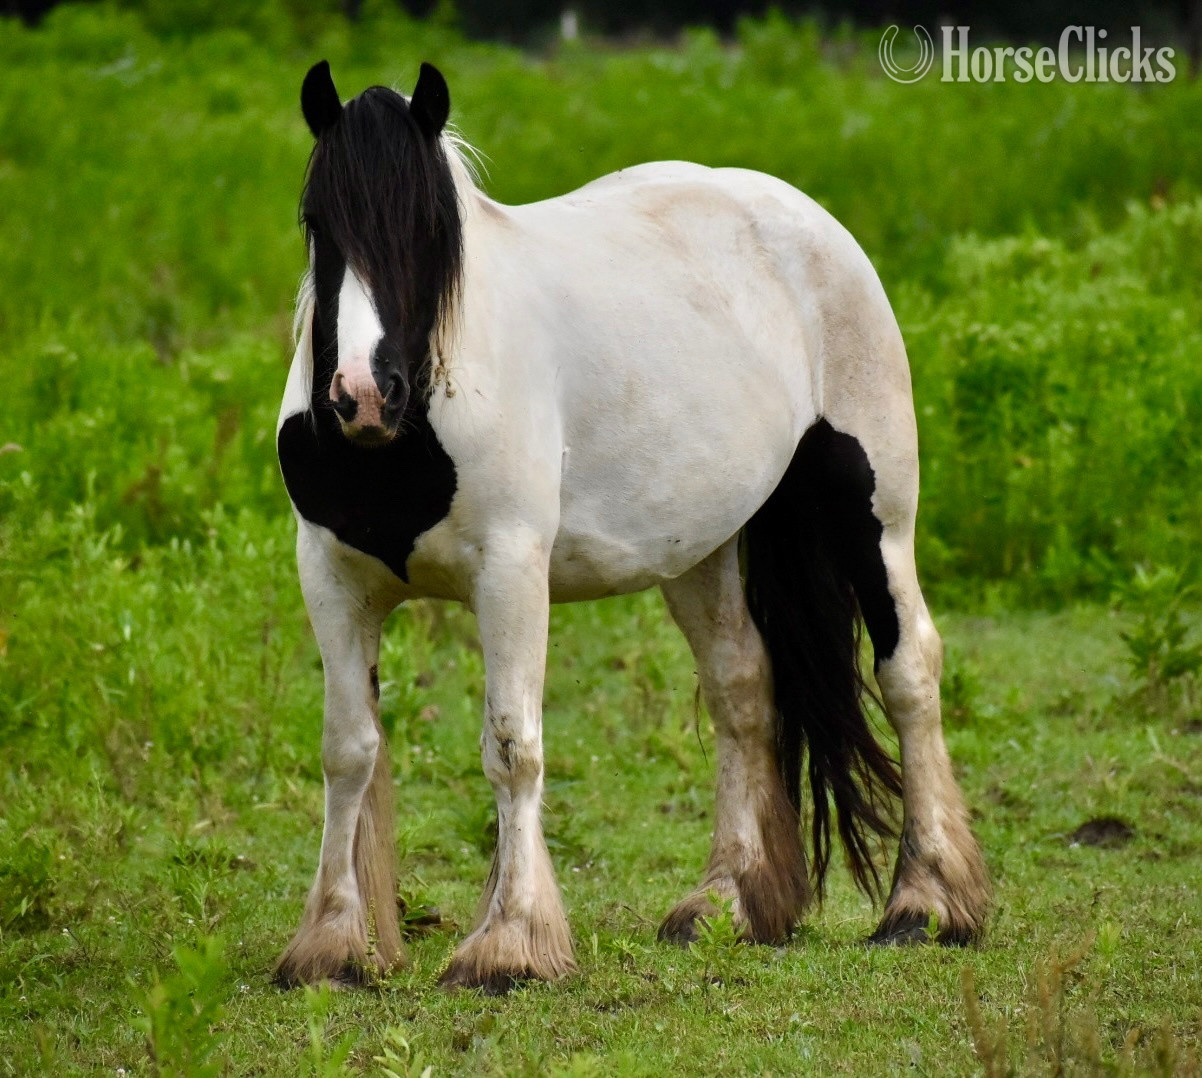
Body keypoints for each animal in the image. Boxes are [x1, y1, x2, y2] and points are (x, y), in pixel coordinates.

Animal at [273, 59, 990, 993]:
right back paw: (729, 900)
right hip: (703, 551)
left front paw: (510, 942)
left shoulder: (510, 570)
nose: (362, 395)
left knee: (909, 671)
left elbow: (512, 746)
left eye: (430, 228)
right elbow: (349, 750)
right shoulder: (331, 577)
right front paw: (331, 941)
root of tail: (800, 215)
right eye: (318, 223)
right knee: (742, 689)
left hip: (871, 517)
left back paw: (928, 903)